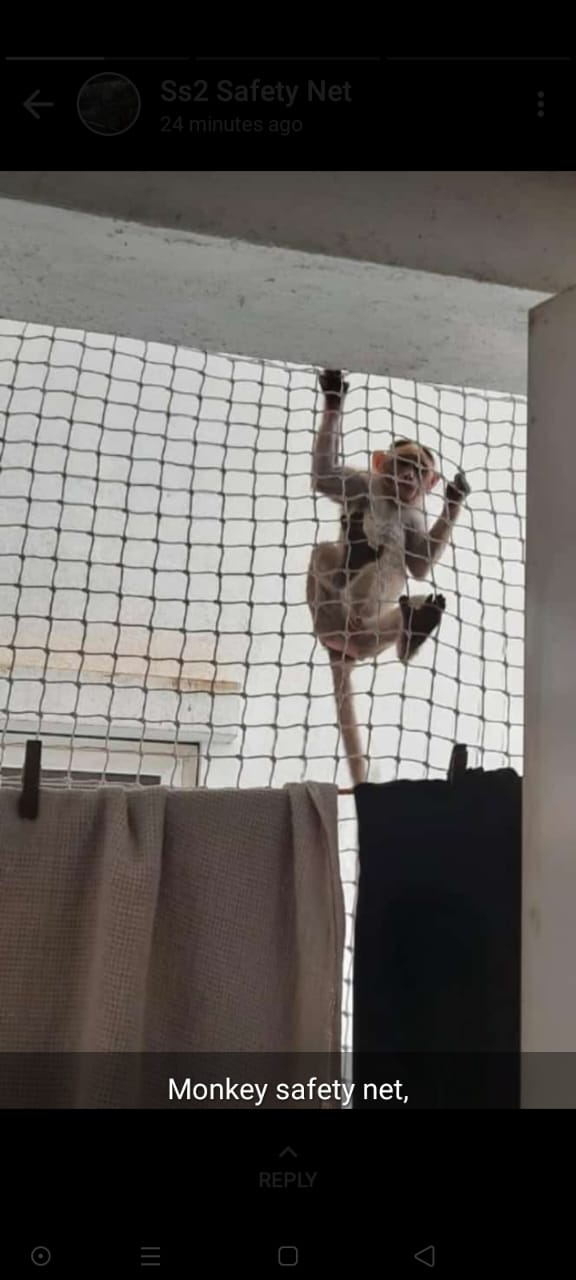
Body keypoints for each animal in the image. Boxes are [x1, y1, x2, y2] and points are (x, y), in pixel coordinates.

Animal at [307, 369, 471, 786]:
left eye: (421, 469)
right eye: (403, 464)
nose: (411, 476)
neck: (394, 501)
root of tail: (341, 650)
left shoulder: (412, 516)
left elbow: (419, 566)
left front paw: (455, 499)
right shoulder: (362, 483)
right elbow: (325, 477)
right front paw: (333, 401)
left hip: (369, 640)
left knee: (395, 603)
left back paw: (414, 631)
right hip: (329, 615)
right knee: (324, 553)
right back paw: (352, 559)